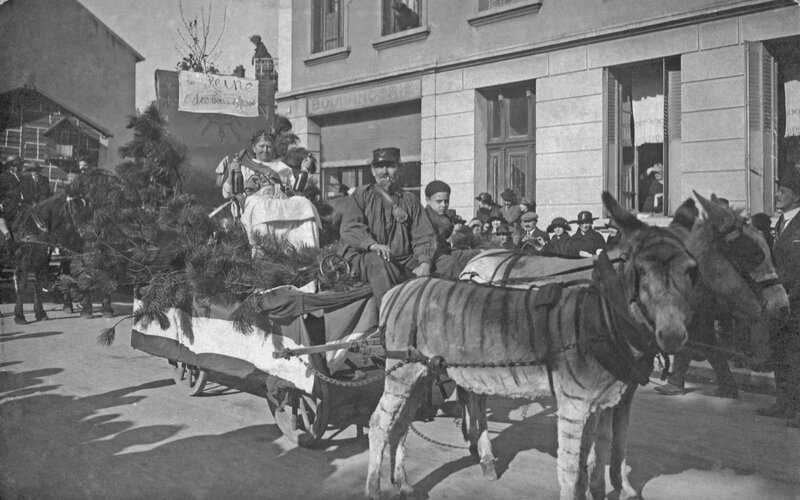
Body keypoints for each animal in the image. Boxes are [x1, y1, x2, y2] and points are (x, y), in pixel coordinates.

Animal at [366, 192, 696, 500]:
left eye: (691, 270)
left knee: (410, 418)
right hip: (409, 369)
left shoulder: (618, 390)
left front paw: (620, 486)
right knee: (387, 420)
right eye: (641, 272)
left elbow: (613, 442)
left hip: (429, 369)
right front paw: (612, 484)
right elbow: (590, 455)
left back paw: (418, 477)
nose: (676, 336)